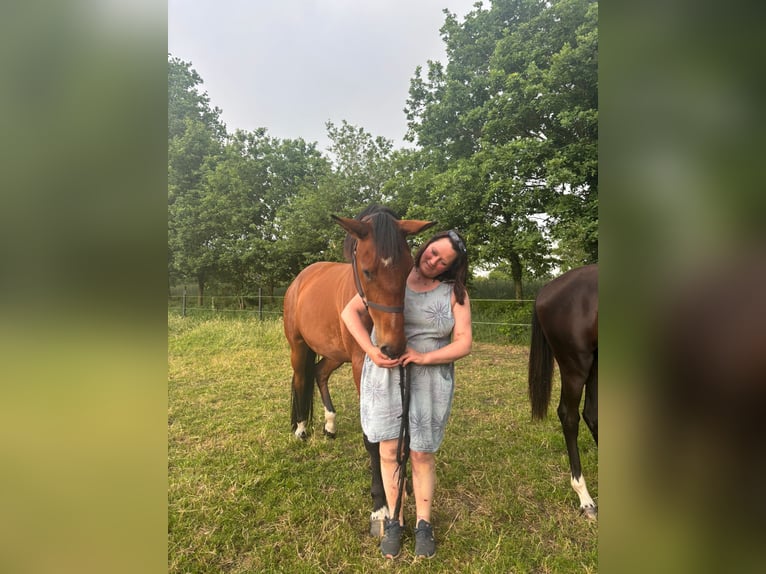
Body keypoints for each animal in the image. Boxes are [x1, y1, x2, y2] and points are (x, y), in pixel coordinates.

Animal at [283, 207, 435, 535]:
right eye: (367, 271)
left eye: (408, 270)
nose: (393, 347)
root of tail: (300, 279)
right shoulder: (360, 366)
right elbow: (373, 439)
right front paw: (380, 506)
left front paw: (403, 488)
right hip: (299, 347)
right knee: (301, 379)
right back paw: (301, 429)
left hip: (333, 353)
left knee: (319, 373)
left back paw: (329, 425)